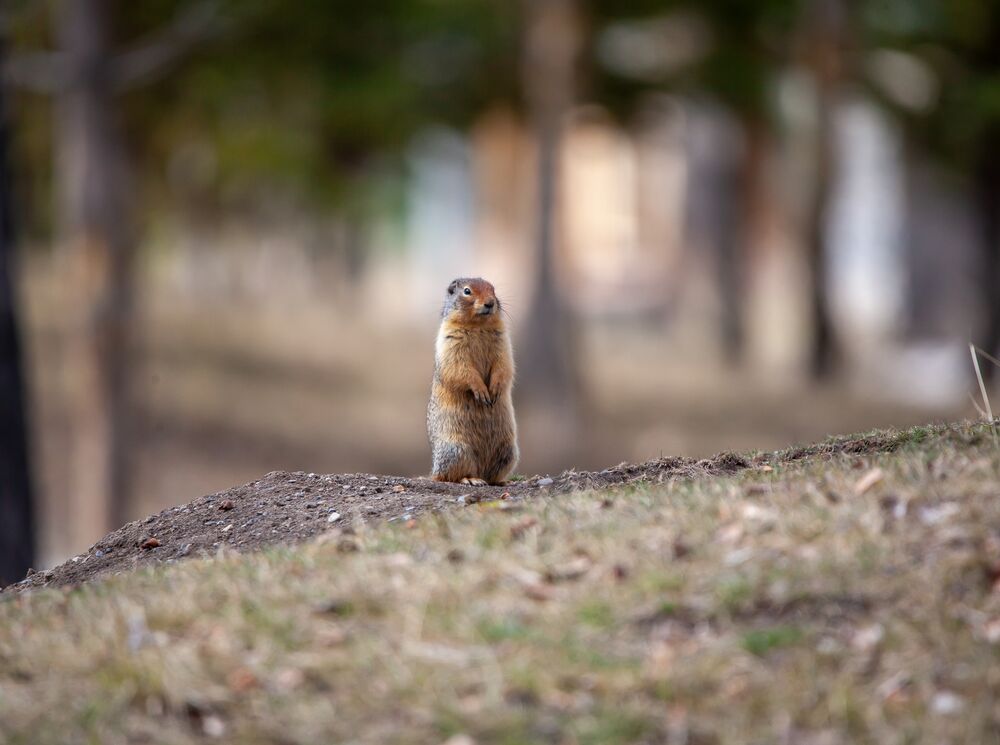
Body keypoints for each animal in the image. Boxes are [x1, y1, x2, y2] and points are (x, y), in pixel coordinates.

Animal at [427, 277, 519, 486]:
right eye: (467, 291)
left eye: (493, 289)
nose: (490, 303)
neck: (478, 326)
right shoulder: (450, 342)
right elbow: (462, 369)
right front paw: (481, 392)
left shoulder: (503, 342)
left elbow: (504, 365)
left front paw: (495, 388)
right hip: (456, 450)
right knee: (451, 476)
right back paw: (471, 479)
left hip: (509, 450)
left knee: (492, 475)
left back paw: (502, 481)